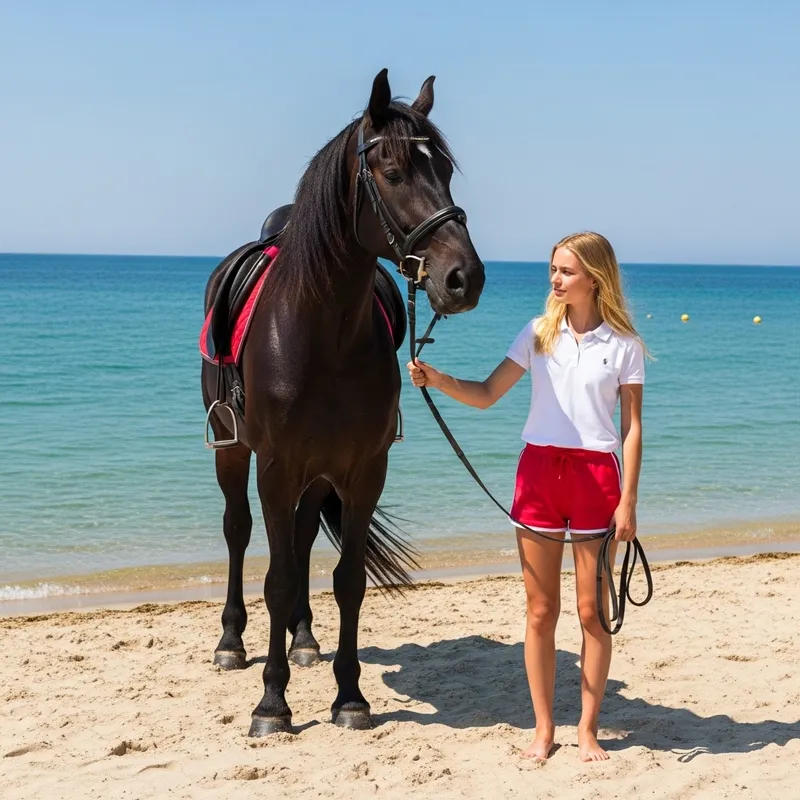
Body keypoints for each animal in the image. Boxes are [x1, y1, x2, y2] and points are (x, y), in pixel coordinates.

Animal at [201, 68, 486, 736]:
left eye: (447, 171)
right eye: (393, 172)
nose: (464, 278)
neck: (321, 331)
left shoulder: (363, 469)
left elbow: (347, 578)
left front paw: (349, 696)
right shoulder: (275, 467)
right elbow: (277, 578)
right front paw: (271, 703)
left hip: (319, 473)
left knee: (304, 535)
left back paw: (305, 639)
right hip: (233, 452)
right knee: (237, 530)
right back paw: (232, 643)